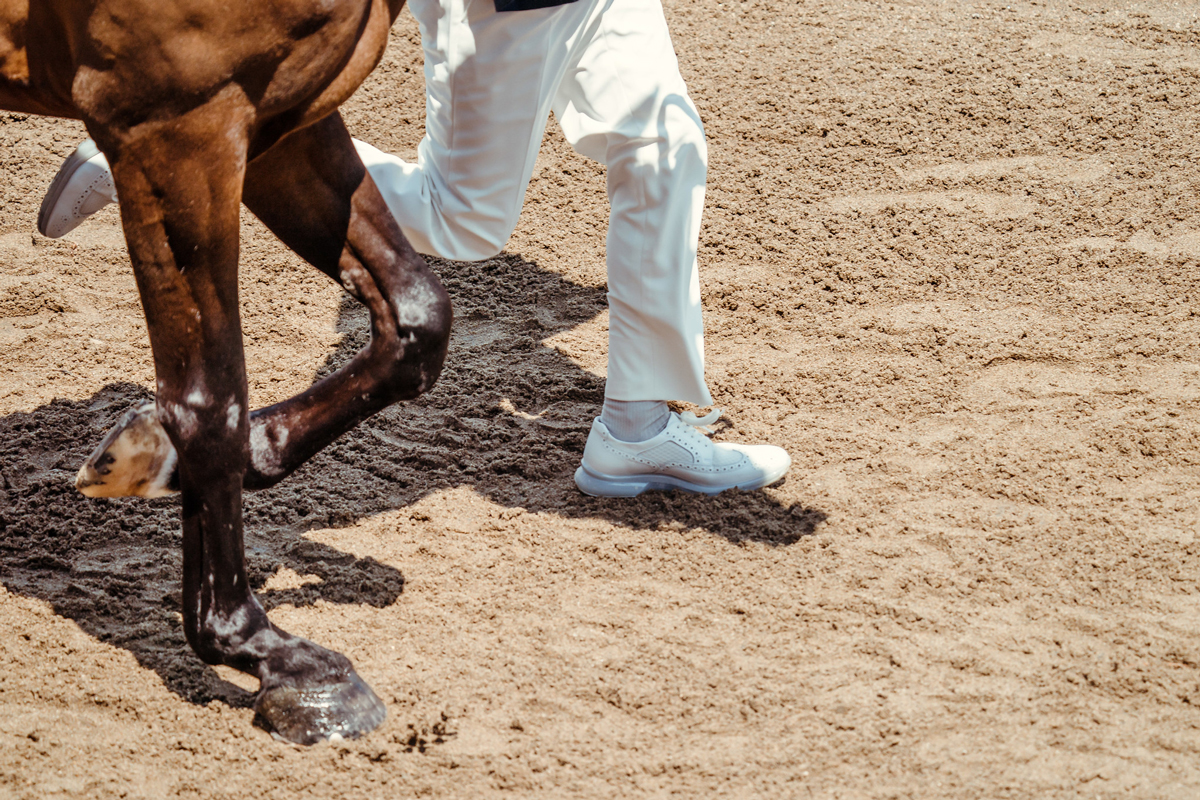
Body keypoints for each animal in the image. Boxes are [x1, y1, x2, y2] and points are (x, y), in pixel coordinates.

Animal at [1, 0, 451, 743]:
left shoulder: (283, 112)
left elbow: (416, 317)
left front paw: (204, 456)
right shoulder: (177, 130)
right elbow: (208, 402)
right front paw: (269, 653)